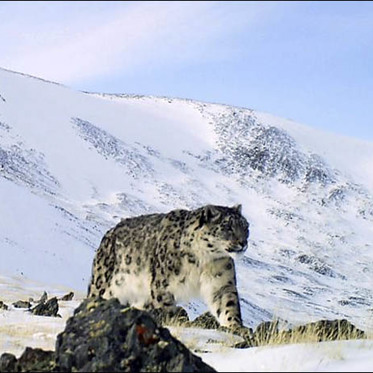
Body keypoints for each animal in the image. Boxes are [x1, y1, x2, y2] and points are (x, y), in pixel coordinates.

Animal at [88, 202, 250, 326]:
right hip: (104, 283)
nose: (243, 243)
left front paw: (235, 327)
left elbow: (228, 305)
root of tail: (108, 233)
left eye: (246, 227)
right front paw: (173, 321)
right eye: (227, 227)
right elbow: (166, 308)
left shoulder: (221, 282)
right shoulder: (163, 284)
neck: (202, 260)